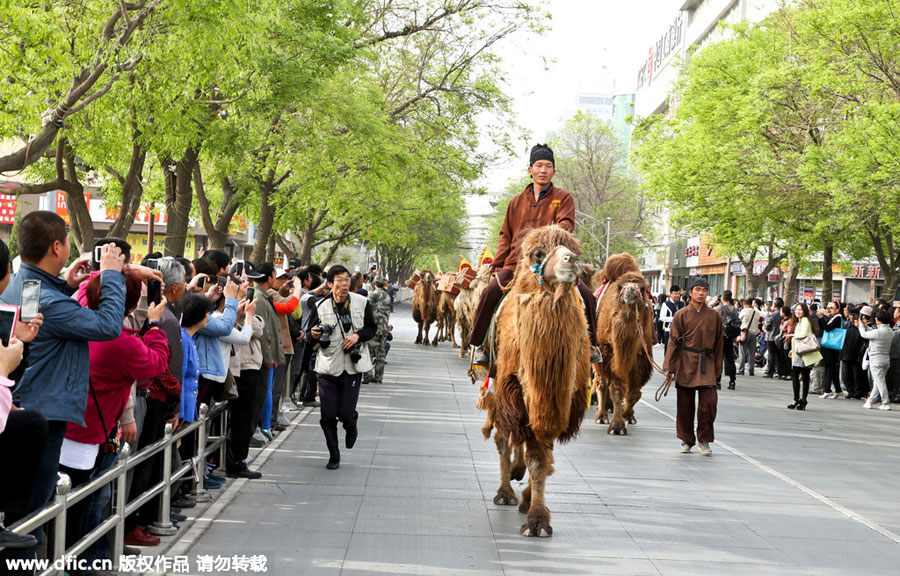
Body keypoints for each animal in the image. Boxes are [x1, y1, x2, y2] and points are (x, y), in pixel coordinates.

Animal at [488, 224, 596, 536]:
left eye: (575, 248)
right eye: (538, 253)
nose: (571, 260)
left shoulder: (560, 398)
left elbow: (542, 457)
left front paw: (535, 512)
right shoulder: (511, 388)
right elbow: (531, 451)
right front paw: (535, 519)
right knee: (504, 437)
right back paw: (505, 492)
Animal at [596, 254, 652, 434]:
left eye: (642, 288)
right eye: (621, 286)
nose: (631, 290)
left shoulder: (641, 356)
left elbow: (634, 393)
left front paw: (628, 415)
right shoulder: (611, 354)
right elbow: (617, 389)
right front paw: (617, 426)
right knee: (601, 383)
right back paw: (601, 416)